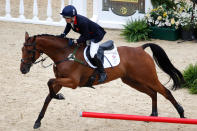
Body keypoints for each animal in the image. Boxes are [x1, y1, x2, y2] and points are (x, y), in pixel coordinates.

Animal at [20, 32, 185, 129]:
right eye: (22, 50)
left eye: (29, 50)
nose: (23, 70)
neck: (64, 54)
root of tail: (140, 48)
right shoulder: (61, 80)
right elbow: (48, 96)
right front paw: (38, 120)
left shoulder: (72, 82)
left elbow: (49, 82)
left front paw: (59, 96)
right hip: (131, 80)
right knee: (152, 93)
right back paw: (153, 115)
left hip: (147, 77)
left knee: (165, 92)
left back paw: (181, 115)